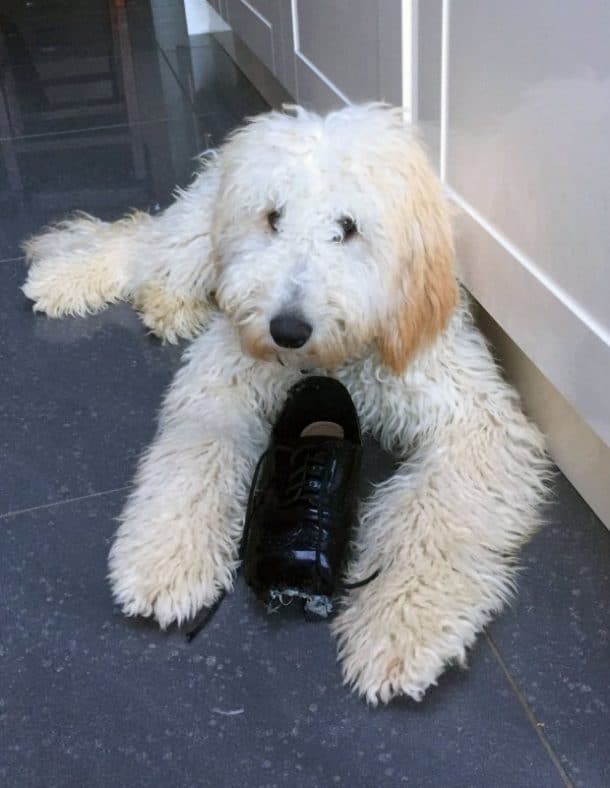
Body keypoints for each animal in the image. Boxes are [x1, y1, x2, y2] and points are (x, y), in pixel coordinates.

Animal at [22, 104, 549, 704]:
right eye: (273, 217)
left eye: (348, 227)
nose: (287, 330)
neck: (337, 362)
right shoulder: (223, 375)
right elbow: (198, 455)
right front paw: (166, 560)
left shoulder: (472, 418)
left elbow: (435, 518)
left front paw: (399, 627)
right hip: (198, 232)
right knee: (144, 242)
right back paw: (65, 277)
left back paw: (165, 306)